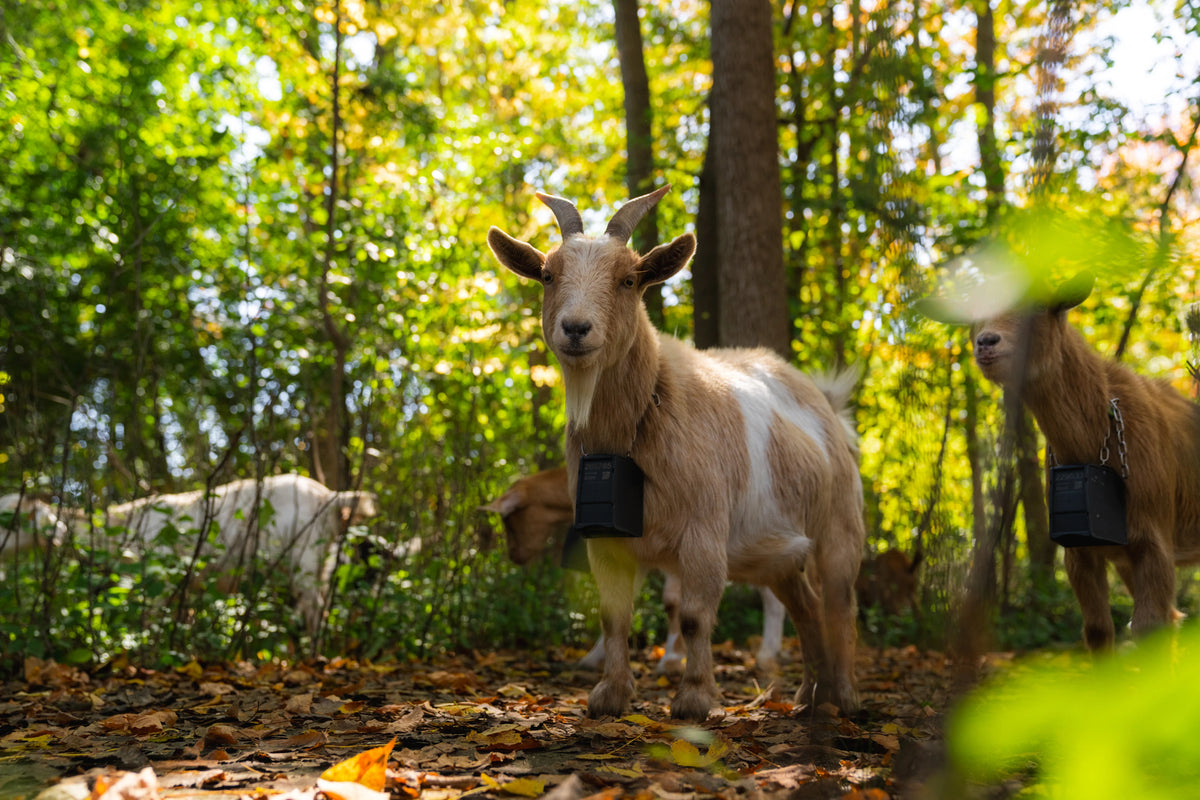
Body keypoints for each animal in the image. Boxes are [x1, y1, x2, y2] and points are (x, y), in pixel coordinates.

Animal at [103, 474, 379, 635]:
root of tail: (327, 495)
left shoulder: (161, 575)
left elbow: (150, 616)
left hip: (305, 561)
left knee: (315, 609)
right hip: (320, 561)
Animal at [482, 465, 789, 672]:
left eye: (510, 521)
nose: (514, 556)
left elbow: (672, 601)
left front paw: (672, 659)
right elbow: (617, 600)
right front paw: (594, 658)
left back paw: (766, 655)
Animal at [970, 273, 1200, 650]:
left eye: (1040, 306)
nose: (986, 342)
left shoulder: (1154, 537)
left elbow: (1148, 628)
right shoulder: (1080, 550)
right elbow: (1098, 630)